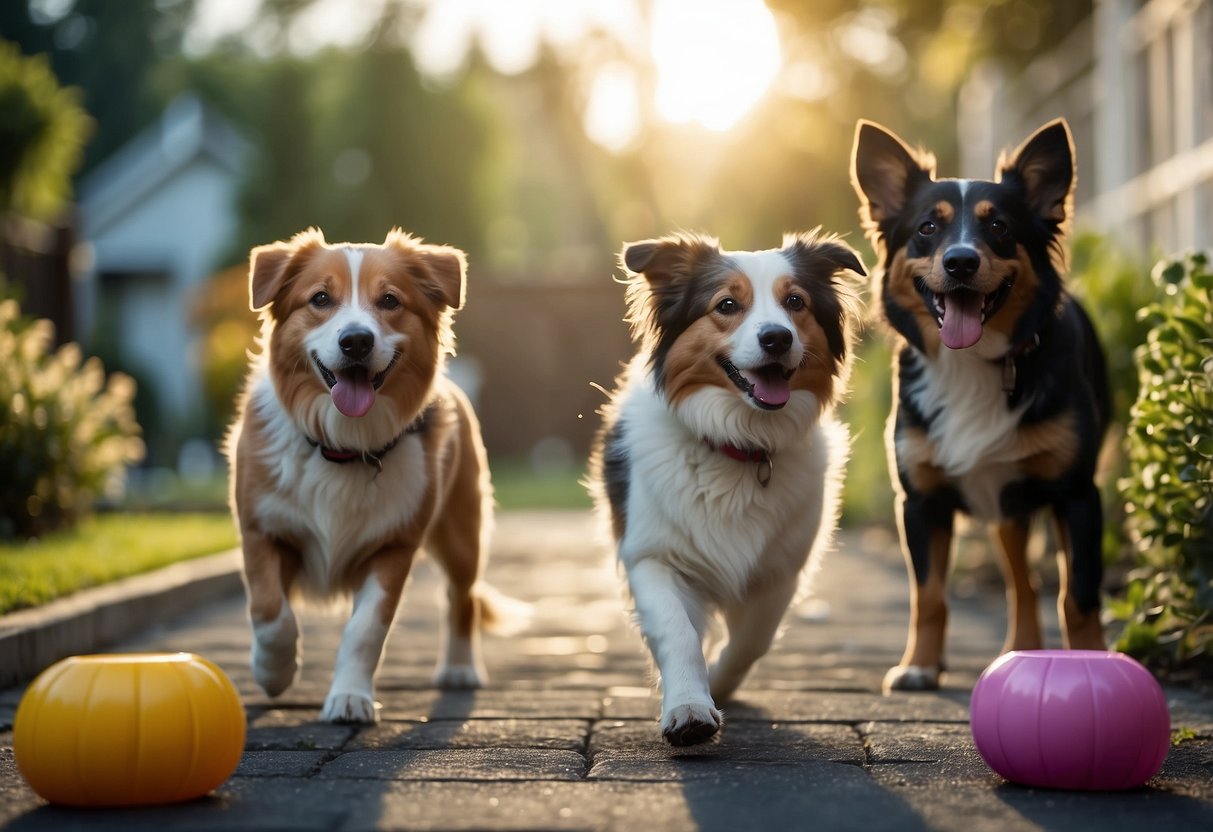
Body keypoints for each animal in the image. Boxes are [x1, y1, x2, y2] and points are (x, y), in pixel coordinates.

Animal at [229, 226, 509, 722]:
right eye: (320, 298)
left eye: (390, 300)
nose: (356, 341)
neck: (341, 444)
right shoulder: (261, 529)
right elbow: (270, 611)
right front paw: (273, 672)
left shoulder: (393, 546)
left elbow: (365, 630)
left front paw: (349, 697)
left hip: (462, 533)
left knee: (463, 597)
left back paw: (459, 668)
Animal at [587, 231, 863, 747]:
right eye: (727, 305)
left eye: (795, 302)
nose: (776, 337)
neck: (741, 444)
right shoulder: (653, 556)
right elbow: (678, 632)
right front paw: (689, 707)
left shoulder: (779, 572)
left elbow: (753, 640)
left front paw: (718, 681)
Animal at [853, 117, 1111, 688]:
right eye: (928, 227)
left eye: (1000, 228)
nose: (961, 261)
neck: (971, 363)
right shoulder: (920, 501)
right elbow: (928, 595)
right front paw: (919, 665)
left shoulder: (1078, 495)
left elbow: (1077, 596)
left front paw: (1094, 663)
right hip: (1003, 510)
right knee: (1020, 580)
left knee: (1028, 582)